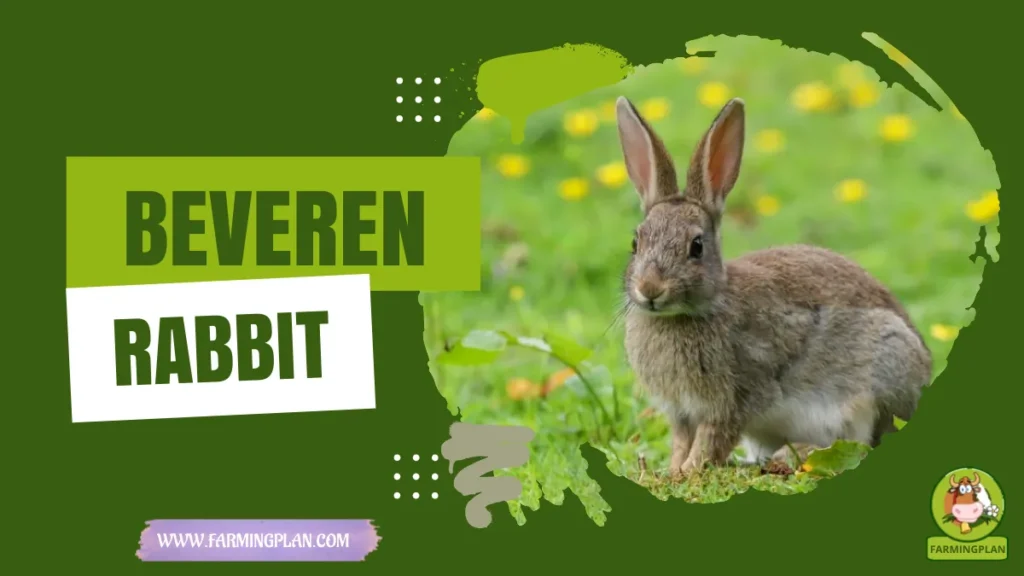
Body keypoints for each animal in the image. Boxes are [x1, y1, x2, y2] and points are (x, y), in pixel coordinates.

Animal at [614, 95, 932, 477]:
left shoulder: (732, 400)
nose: (650, 289)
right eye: (635, 243)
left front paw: (689, 473)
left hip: (884, 367)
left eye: (696, 247)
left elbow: (709, 442)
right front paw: (673, 472)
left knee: (860, 441)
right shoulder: (681, 412)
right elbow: (681, 442)